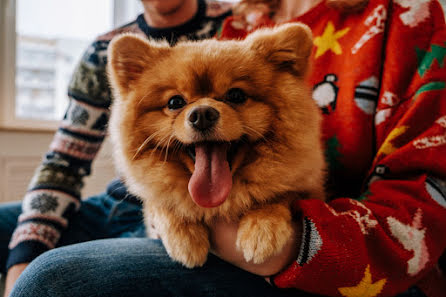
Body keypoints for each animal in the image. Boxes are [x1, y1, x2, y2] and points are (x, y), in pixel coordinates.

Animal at [106, 23, 326, 268]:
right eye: (175, 102)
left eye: (236, 95)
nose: (202, 114)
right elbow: (161, 204)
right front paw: (184, 238)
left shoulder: (310, 189)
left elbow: (281, 195)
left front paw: (263, 227)